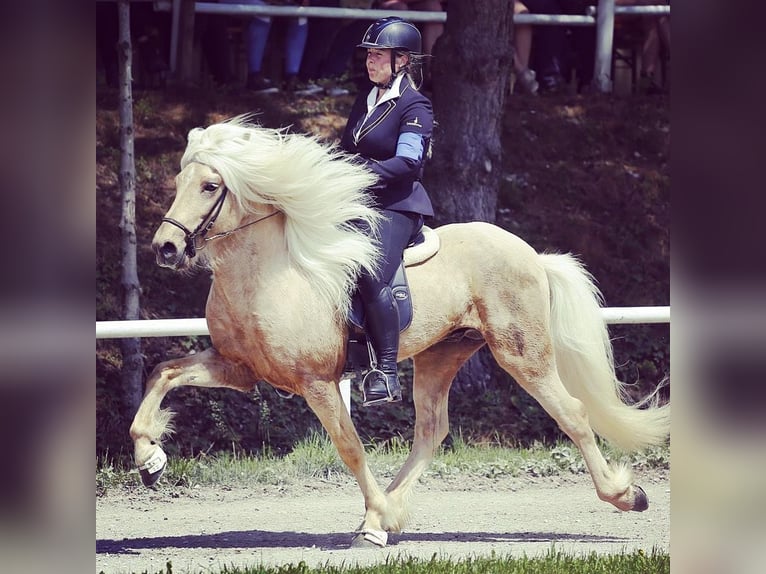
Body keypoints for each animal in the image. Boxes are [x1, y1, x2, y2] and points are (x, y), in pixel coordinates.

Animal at [130, 116, 670, 548]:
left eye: (209, 186)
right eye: (179, 178)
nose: (165, 248)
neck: (267, 274)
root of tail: (532, 255)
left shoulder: (317, 382)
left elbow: (349, 447)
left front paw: (374, 516)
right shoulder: (238, 369)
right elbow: (163, 373)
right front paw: (149, 457)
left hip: (521, 353)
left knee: (573, 414)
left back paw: (626, 495)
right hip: (441, 354)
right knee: (432, 430)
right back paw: (387, 516)